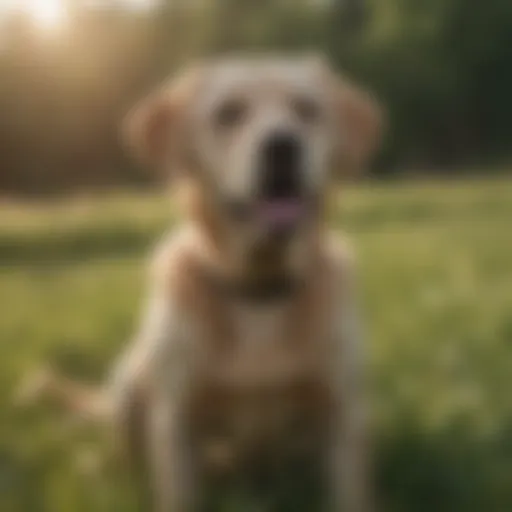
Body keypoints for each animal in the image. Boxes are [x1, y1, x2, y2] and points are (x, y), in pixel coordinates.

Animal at [19, 54, 380, 510]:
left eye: (307, 109)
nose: (283, 146)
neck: (257, 290)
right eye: (228, 113)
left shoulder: (343, 412)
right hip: (129, 381)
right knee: (122, 452)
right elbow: (177, 493)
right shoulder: (175, 418)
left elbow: (351, 493)